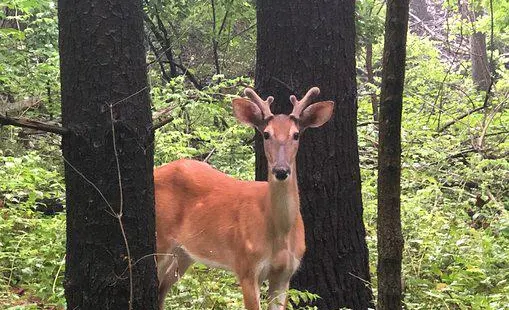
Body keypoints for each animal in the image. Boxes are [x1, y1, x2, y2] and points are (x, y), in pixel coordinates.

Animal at [155, 86, 336, 308]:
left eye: (296, 135)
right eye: (266, 134)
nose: (281, 170)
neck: (280, 233)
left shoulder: (285, 274)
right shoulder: (246, 266)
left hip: (184, 253)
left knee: (161, 291)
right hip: (160, 239)